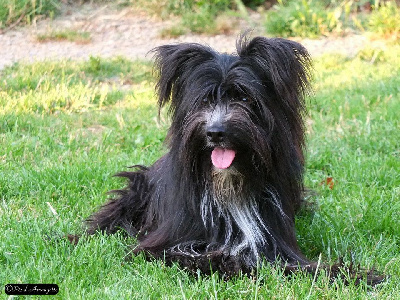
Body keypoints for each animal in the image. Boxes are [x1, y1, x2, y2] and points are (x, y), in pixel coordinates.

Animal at [83, 36, 382, 282]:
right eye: (204, 100)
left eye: (245, 98)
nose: (215, 132)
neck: (231, 184)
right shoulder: (159, 246)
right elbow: (194, 255)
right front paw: (231, 262)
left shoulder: (276, 244)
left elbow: (301, 266)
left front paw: (358, 275)